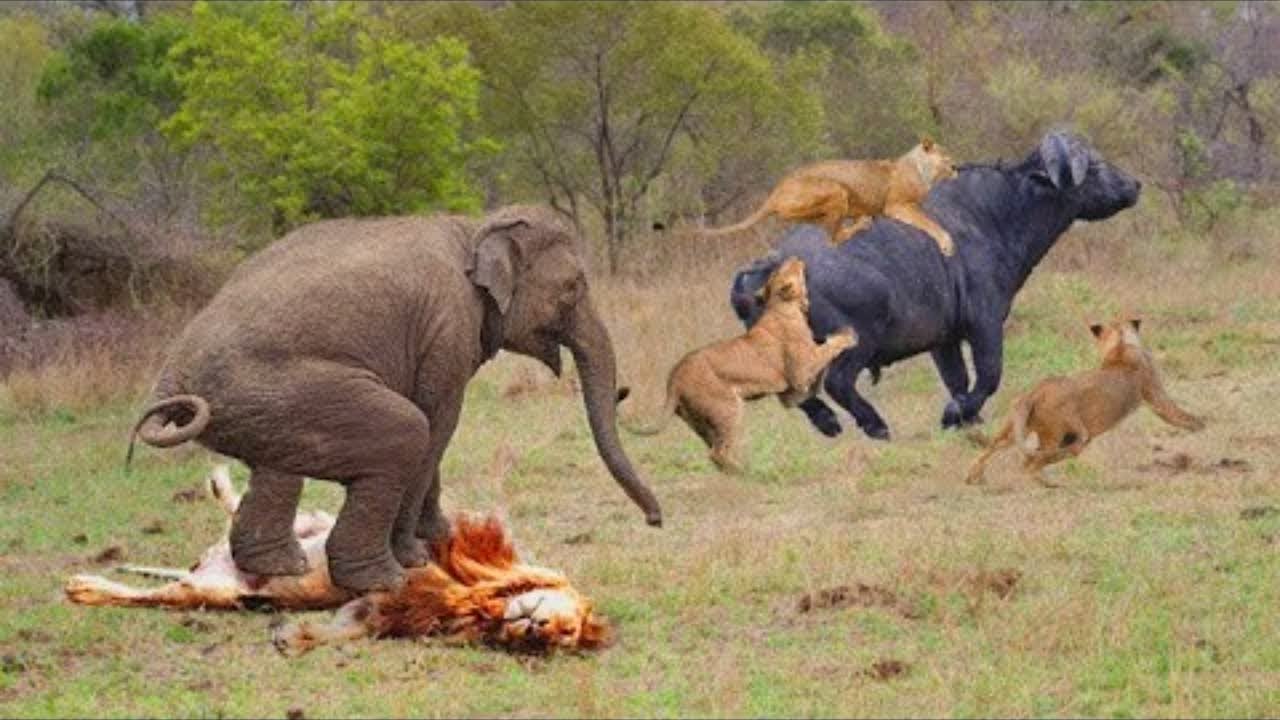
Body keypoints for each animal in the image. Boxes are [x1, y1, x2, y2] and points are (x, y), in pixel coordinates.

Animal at [65, 466, 610, 657]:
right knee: (253, 517)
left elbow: (343, 629)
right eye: (565, 625)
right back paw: (219, 483)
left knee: (154, 595)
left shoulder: (374, 610)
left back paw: (85, 586)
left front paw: (293, 637)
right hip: (312, 523)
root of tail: (206, 567)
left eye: (562, 638)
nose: (535, 630)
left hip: (210, 593)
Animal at [623, 257, 856, 472]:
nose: (796, 258)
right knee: (717, 453)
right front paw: (847, 335)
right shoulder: (800, 373)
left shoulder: (790, 394)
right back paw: (747, 472)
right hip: (727, 408)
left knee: (713, 450)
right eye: (784, 269)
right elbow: (825, 352)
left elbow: (817, 378)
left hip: (699, 422)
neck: (782, 306)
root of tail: (674, 377)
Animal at [702, 138, 959, 255]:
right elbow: (929, 223)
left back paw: (859, 220)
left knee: (826, 229)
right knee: (833, 240)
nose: (956, 166)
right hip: (836, 189)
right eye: (946, 156)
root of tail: (776, 191)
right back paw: (861, 224)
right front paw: (947, 244)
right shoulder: (898, 205)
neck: (923, 170)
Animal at [965, 318, 1205, 486]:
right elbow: (1176, 414)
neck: (1119, 346)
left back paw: (973, 477)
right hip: (1072, 436)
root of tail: (1036, 392)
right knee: (1032, 463)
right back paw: (1050, 483)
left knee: (993, 448)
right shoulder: (1156, 396)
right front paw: (1199, 425)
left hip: (1015, 429)